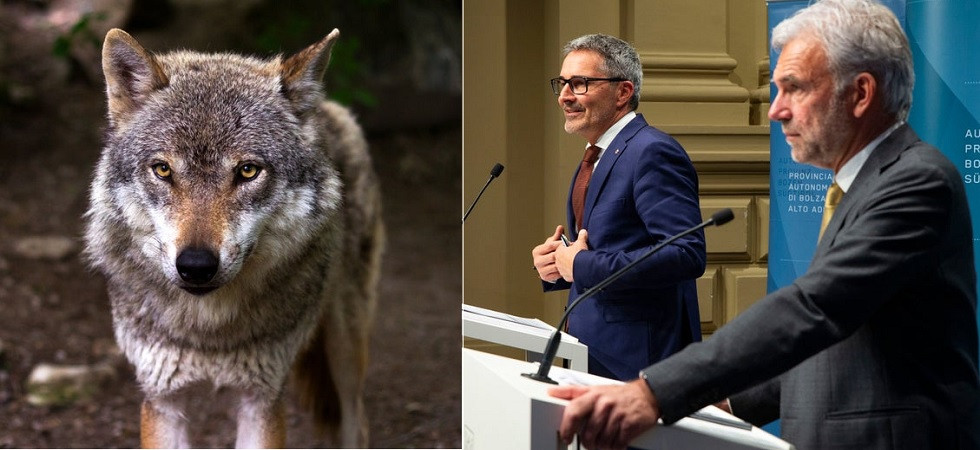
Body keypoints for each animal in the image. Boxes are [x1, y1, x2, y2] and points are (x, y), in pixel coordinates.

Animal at [83, 28, 384, 448]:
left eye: (247, 171)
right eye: (163, 170)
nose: (196, 266)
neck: (209, 331)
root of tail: (326, 108)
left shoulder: (261, 399)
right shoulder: (162, 399)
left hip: (345, 350)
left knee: (357, 420)